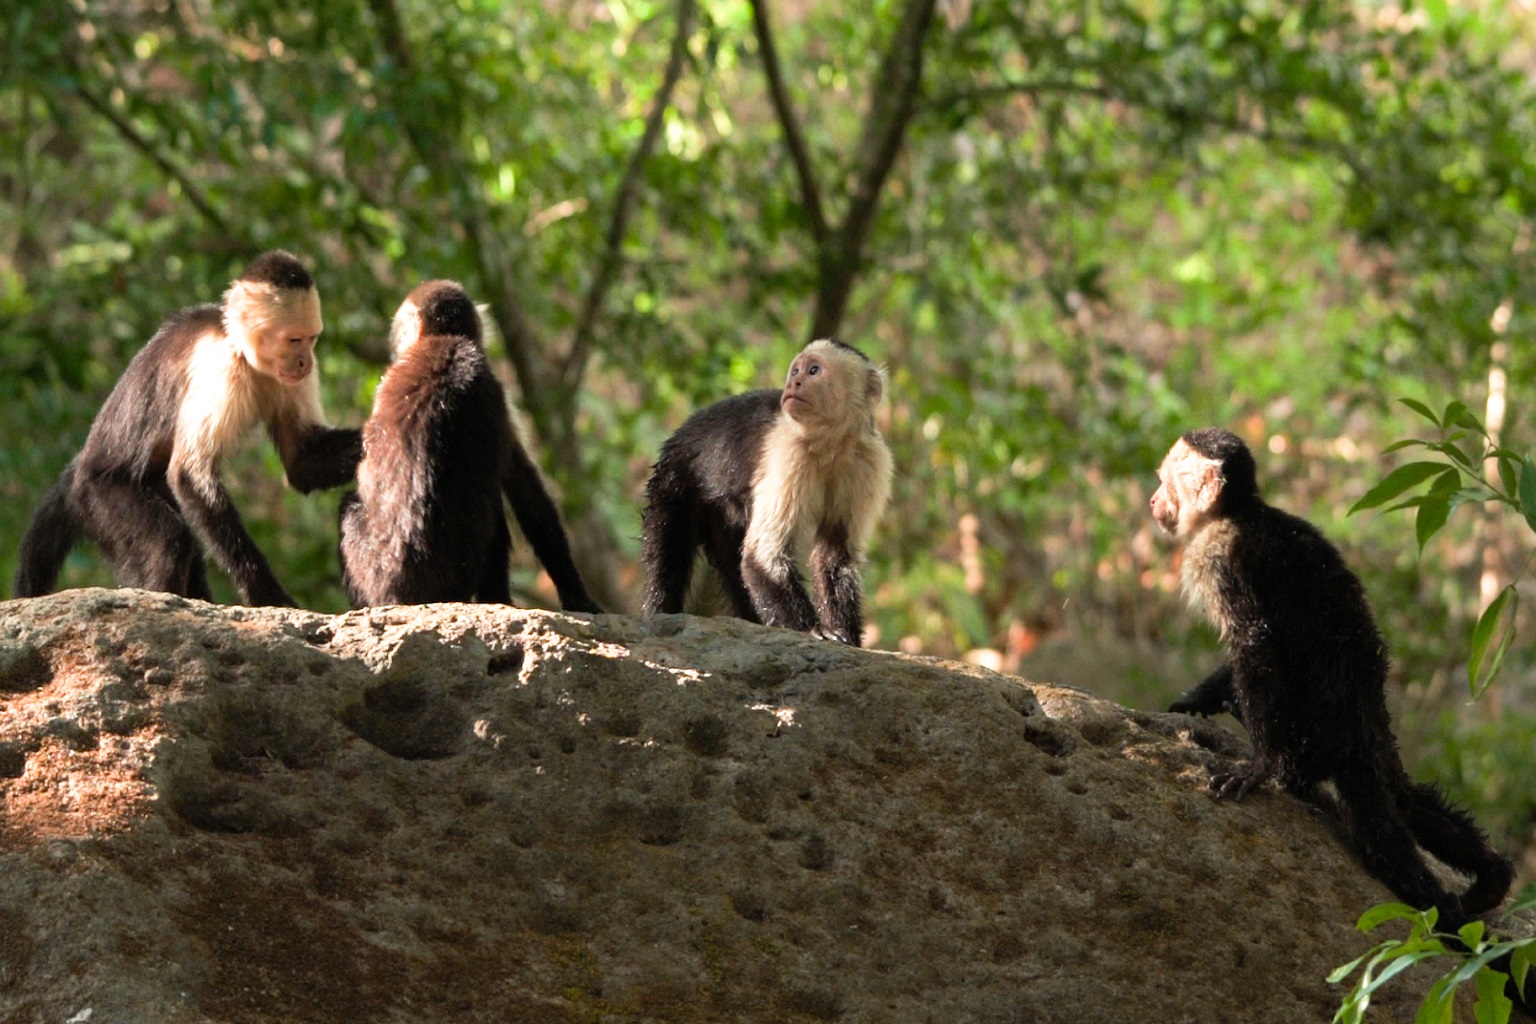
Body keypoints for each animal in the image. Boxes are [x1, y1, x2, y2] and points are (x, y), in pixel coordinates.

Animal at [12, 250, 360, 607]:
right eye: (294, 340)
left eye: (312, 339)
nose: (306, 361)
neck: (241, 350)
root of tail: (75, 472)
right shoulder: (221, 367)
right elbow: (190, 474)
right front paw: (266, 593)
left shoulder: (288, 379)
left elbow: (301, 462)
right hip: (100, 496)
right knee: (167, 542)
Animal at [337, 279, 602, 613]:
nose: (395, 348)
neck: (447, 342)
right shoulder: (497, 392)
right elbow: (529, 497)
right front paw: (578, 597)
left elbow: (527, 492)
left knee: (347, 506)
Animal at [640, 338, 893, 646]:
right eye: (795, 370)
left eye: (813, 370)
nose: (794, 381)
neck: (830, 444)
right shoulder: (788, 453)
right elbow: (763, 553)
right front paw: (810, 629)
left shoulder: (871, 461)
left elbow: (834, 557)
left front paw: (847, 636)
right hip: (675, 479)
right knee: (668, 548)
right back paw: (661, 612)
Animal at [1152, 427, 1513, 926]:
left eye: (1166, 483)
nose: (1152, 500)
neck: (1238, 512)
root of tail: (1359, 718)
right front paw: (1193, 702)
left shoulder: (1220, 558)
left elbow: (1256, 644)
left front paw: (1257, 766)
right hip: (1374, 736)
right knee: (1401, 794)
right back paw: (1493, 876)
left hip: (1321, 731)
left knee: (1372, 815)